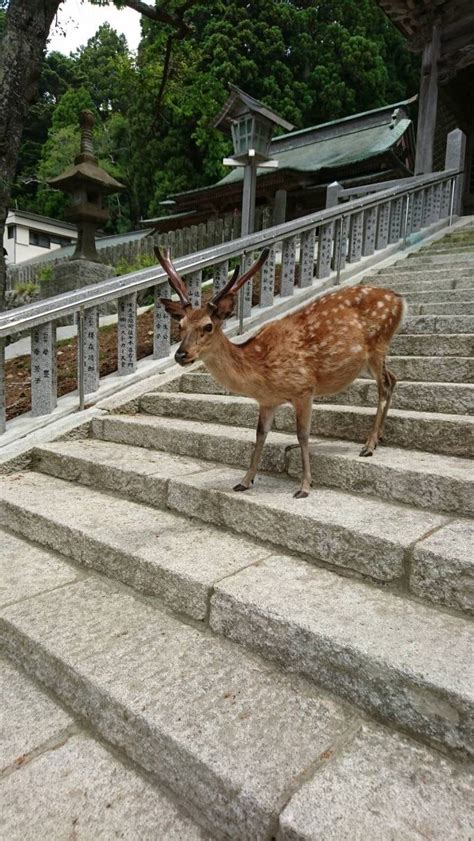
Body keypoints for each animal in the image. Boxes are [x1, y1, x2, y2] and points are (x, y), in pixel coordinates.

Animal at [156, 246, 408, 498]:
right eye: (180, 325)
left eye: (208, 326)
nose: (181, 355)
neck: (260, 369)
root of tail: (400, 299)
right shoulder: (267, 401)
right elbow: (260, 434)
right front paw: (244, 481)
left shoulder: (304, 388)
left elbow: (302, 434)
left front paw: (304, 486)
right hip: (368, 360)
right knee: (393, 378)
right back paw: (379, 437)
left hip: (378, 345)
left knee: (384, 386)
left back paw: (368, 445)